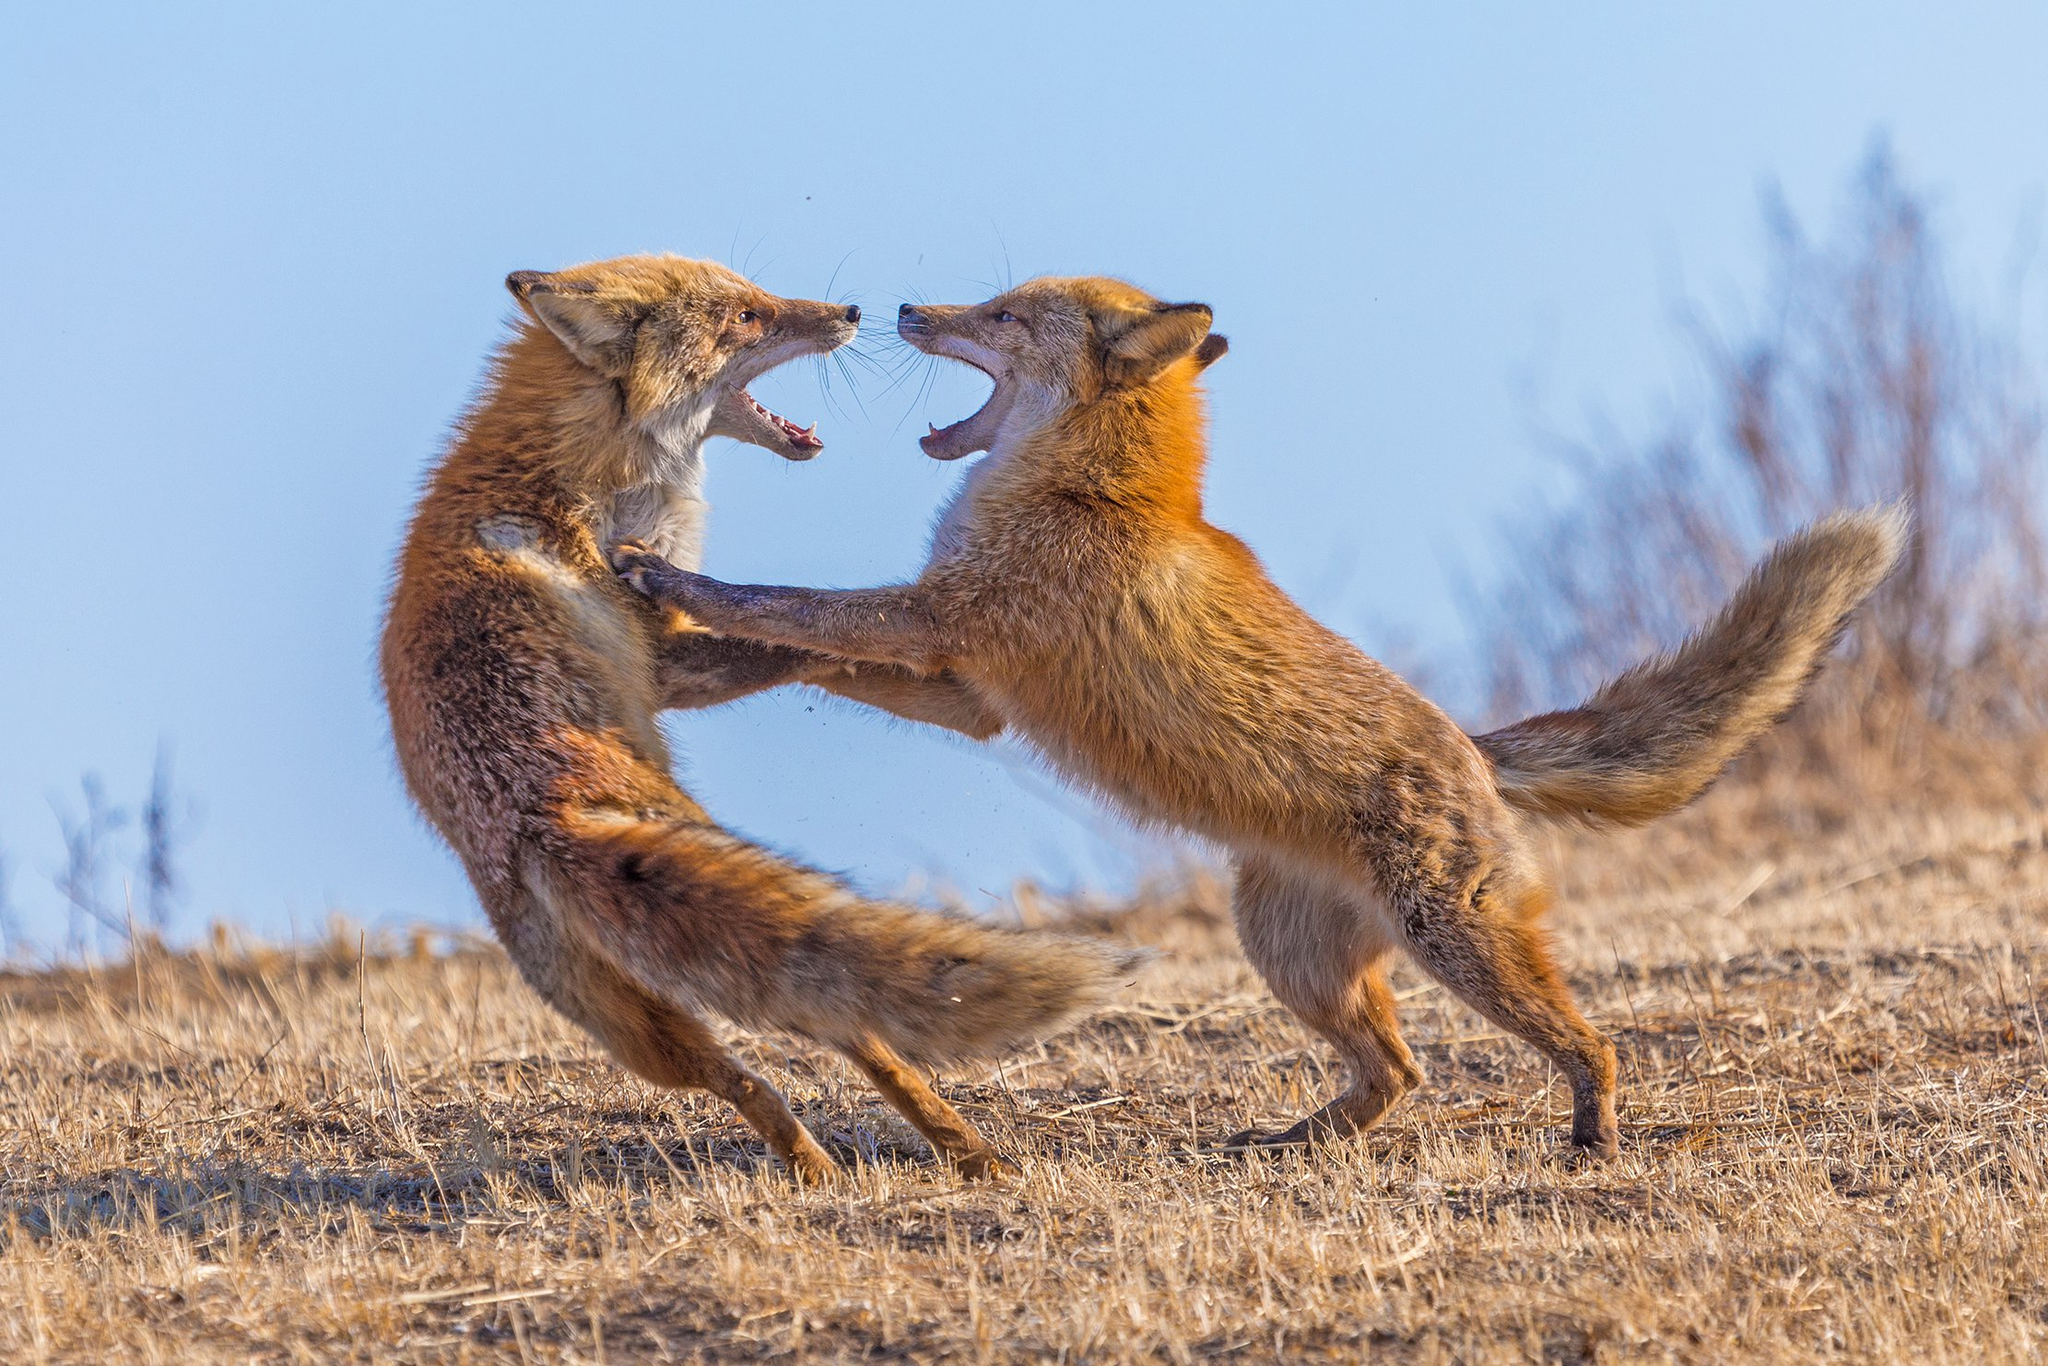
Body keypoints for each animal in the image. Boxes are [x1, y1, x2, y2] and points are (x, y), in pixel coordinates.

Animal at [376, 255, 1146, 1187]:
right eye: (746, 316)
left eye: (757, 291)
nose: (851, 310)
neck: (572, 478)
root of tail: (537, 814)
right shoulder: (669, 655)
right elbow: (788, 639)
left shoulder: (670, 672)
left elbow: (806, 643)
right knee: (843, 1042)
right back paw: (918, 1158)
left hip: (636, 1028)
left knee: (762, 1070)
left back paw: (860, 1163)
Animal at [602, 280, 1900, 1163]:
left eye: (1007, 313)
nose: (910, 305)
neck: (1088, 491)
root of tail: (1473, 753)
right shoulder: (969, 685)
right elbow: (799, 650)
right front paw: (684, 652)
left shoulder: (941, 623)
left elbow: (792, 603)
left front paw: (672, 584)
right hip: (1287, 953)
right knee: (1395, 1072)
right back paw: (1292, 1143)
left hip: (1455, 943)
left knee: (1585, 1042)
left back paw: (1590, 1134)